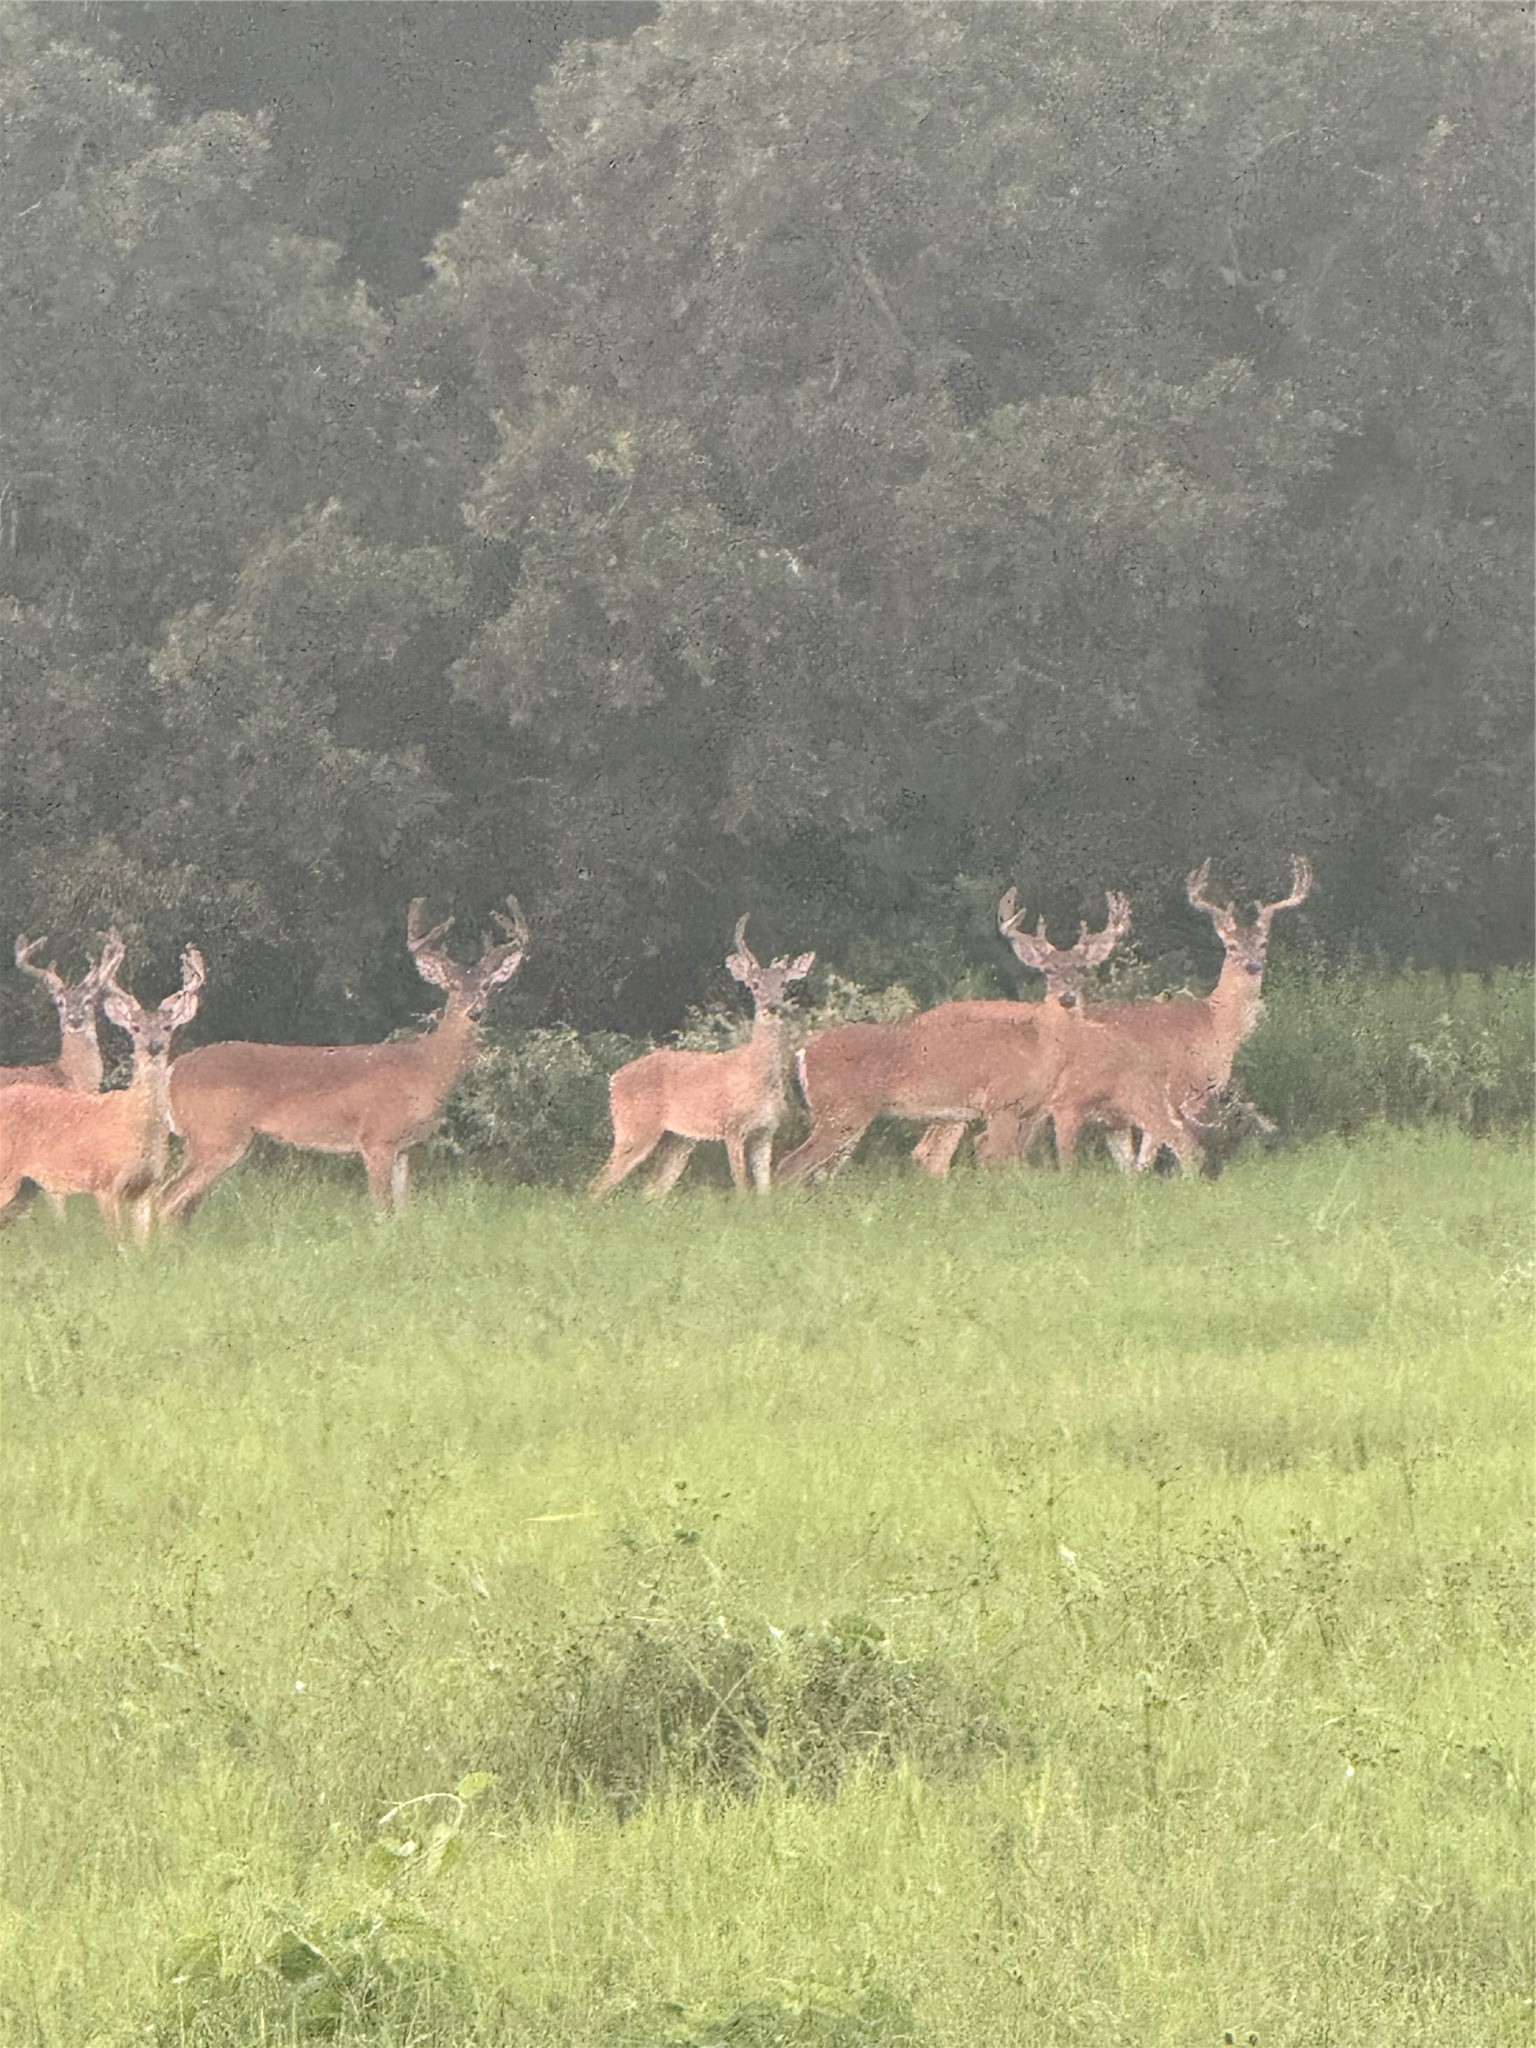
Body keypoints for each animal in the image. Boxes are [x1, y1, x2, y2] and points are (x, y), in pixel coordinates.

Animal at [0, 946, 205, 1243]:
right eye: (136, 1028)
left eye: (167, 1027)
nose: (153, 1046)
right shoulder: (104, 1182)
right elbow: (116, 1244)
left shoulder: (146, 1189)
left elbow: (143, 1246)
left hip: (25, 1186)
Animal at [158, 895, 529, 1222]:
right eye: (451, 985)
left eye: (487, 986)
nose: (475, 1011)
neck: (424, 1070)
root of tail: (173, 1072)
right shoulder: (376, 1136)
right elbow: (383, 1212)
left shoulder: (405, 1148)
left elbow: (405, 1213)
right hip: (216, 1134)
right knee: (167, 1198)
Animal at [590, 917, 815, 1198]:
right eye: (754, 984)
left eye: (784, 985)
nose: (771, 1007)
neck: (758, 1073)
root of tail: (613, 1080)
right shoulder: (733, 1126)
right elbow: (742, 1187)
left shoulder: (766, 1130)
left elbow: (765, 1191)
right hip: (634, 1127)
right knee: (596, 1186)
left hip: (679, 1140)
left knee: (651, 1191)